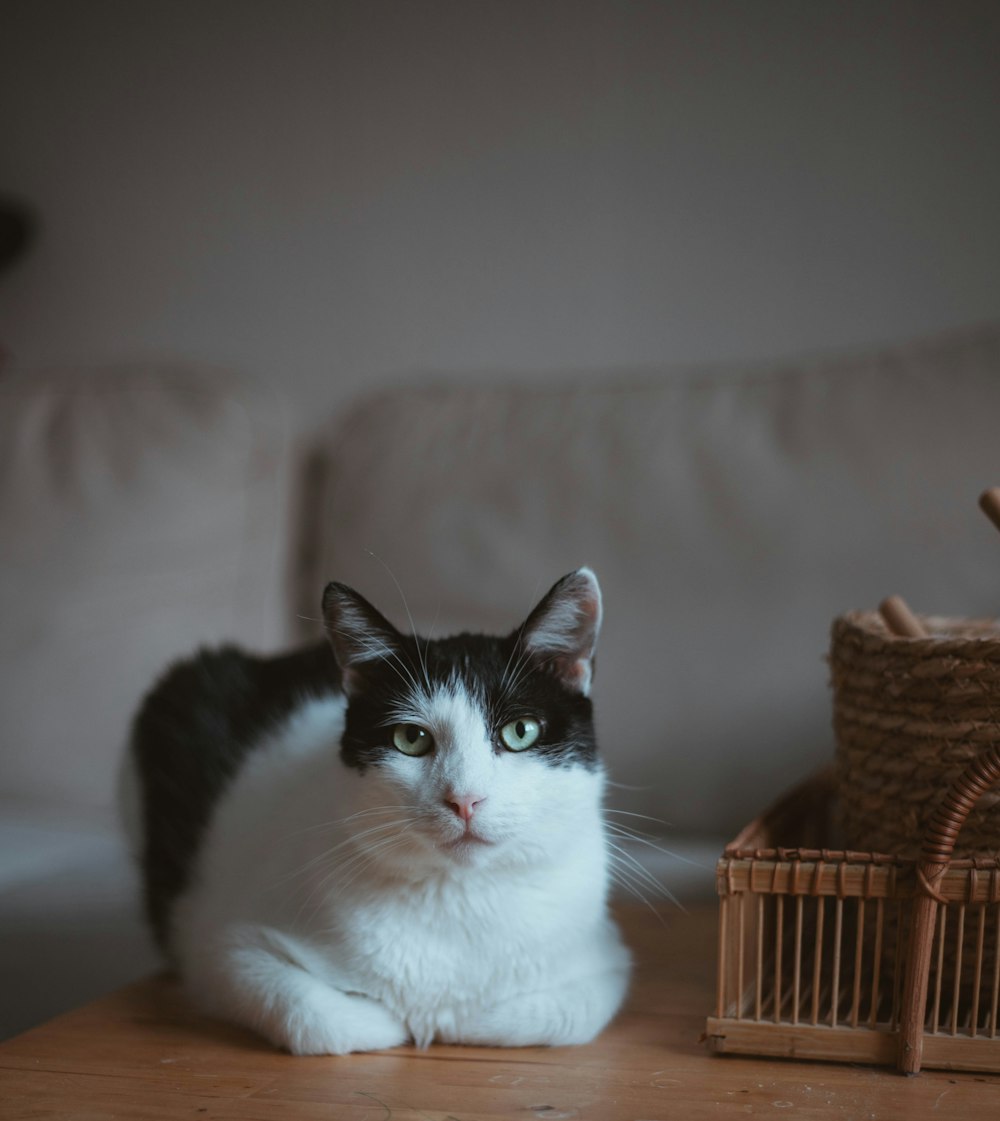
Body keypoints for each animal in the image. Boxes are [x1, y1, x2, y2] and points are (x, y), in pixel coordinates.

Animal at [121, 569, 627, 1049]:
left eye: (520, 732)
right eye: (411, 738)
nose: (464, 799)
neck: (457, 898)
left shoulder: (605, 957)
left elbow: (564, 1015)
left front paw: (448, 1017)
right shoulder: (221, 946)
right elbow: (313, 1016)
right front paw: (395, 1018)